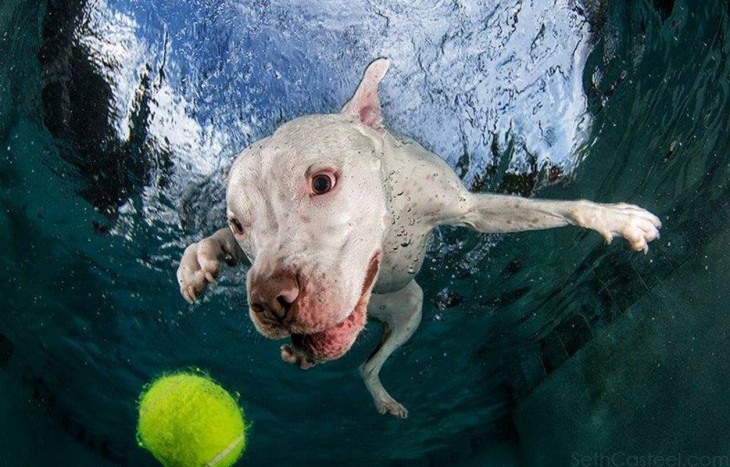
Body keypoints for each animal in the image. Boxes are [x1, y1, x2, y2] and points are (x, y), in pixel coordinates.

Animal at [176, 56, 660, 418]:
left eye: (322, 182)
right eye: (240, 223)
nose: (270, 300)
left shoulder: (470, 211)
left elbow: (552, 210)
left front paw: (610, 216)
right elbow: (216, 246)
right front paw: (200, 259)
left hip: (411, 308)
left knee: (368, 365)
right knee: (363, 366)